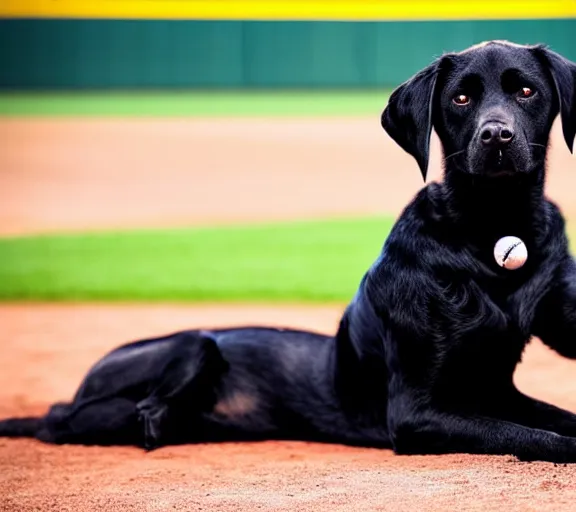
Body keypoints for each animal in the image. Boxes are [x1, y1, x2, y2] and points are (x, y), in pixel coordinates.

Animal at [1, 41, 576, 464]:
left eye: (526, 91)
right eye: (460, 99)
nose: (496, 136)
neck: (490, 234)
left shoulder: (496, 387)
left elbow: (551, 417)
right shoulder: (417, 414)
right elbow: (528, 436)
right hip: (194, 343)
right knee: (88, 416)